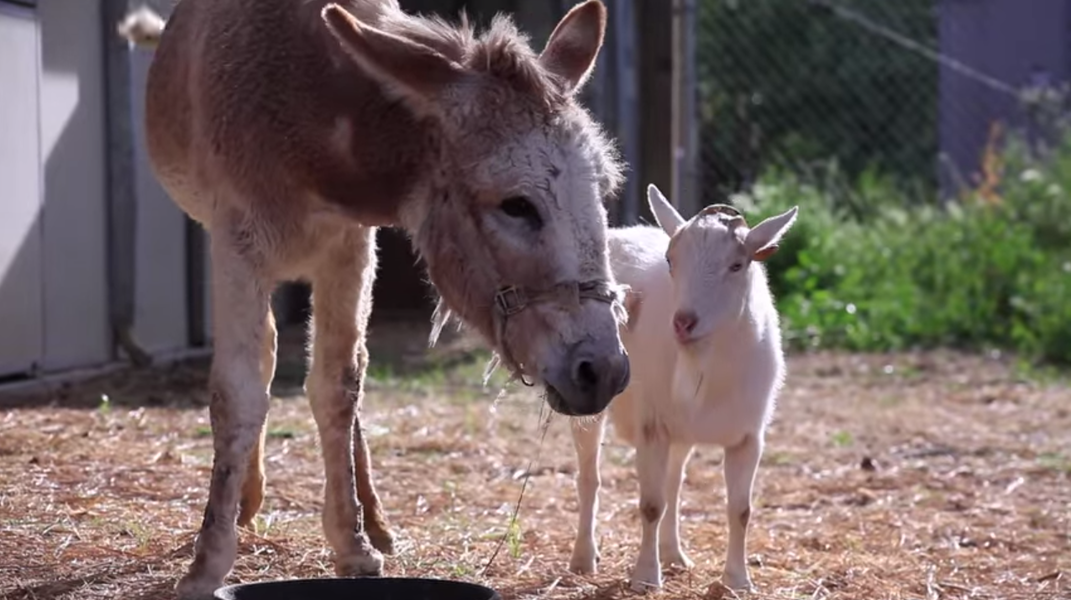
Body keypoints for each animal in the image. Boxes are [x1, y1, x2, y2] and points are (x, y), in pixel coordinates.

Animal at [565, 183, 801, 591]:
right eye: (671, 260)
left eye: (736, 265)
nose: (684, 323)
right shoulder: (652, 426)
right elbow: (650, 505)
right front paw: (646, 577)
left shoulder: (748, 437)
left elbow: (740, 509)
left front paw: (738, 580)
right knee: (589, 477)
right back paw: (584, 558)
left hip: (682, 429)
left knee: (674, 484)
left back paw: (675, 554)